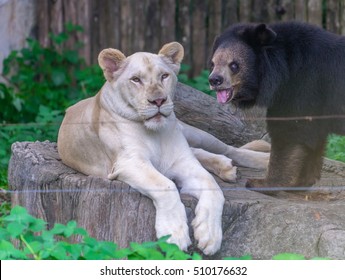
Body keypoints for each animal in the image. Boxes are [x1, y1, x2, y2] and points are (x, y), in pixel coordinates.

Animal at [207, 21, 344, 188]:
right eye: (213, 63)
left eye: (234, 65)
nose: (214, 80)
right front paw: (303, 181)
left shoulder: (304, 86)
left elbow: (289, 130)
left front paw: (260, 183)